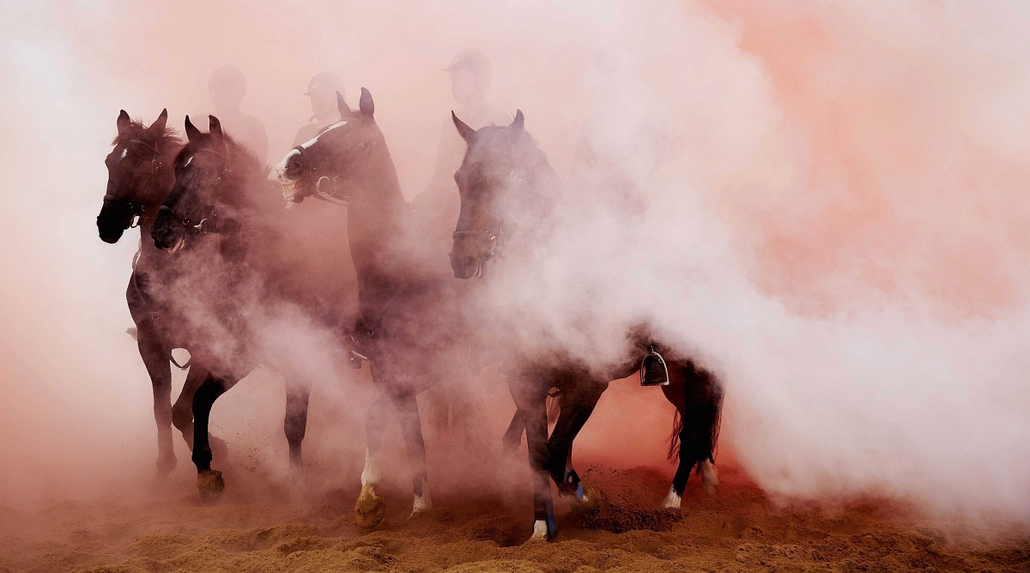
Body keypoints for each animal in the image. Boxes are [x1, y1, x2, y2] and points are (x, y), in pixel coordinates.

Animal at [271, 88, 469, 527]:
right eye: (325, 128)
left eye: (353, 141)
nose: (287, 164)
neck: (400, 276)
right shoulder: (388, 373)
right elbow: (391, 426)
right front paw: (377, 497)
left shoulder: (418, 371)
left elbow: (400, 431)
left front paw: (409, 502)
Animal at [449, 109, 725, 540]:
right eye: (460, 179)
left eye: (501, 180)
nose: (462, 259)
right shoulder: (526, 386)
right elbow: (538, 453)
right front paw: (541, 527)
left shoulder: (589, 386)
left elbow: (554, 452)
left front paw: (584, 496)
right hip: (674, 379)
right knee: (694, 423)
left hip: (697, 370)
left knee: (694, 428)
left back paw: (672, 503)